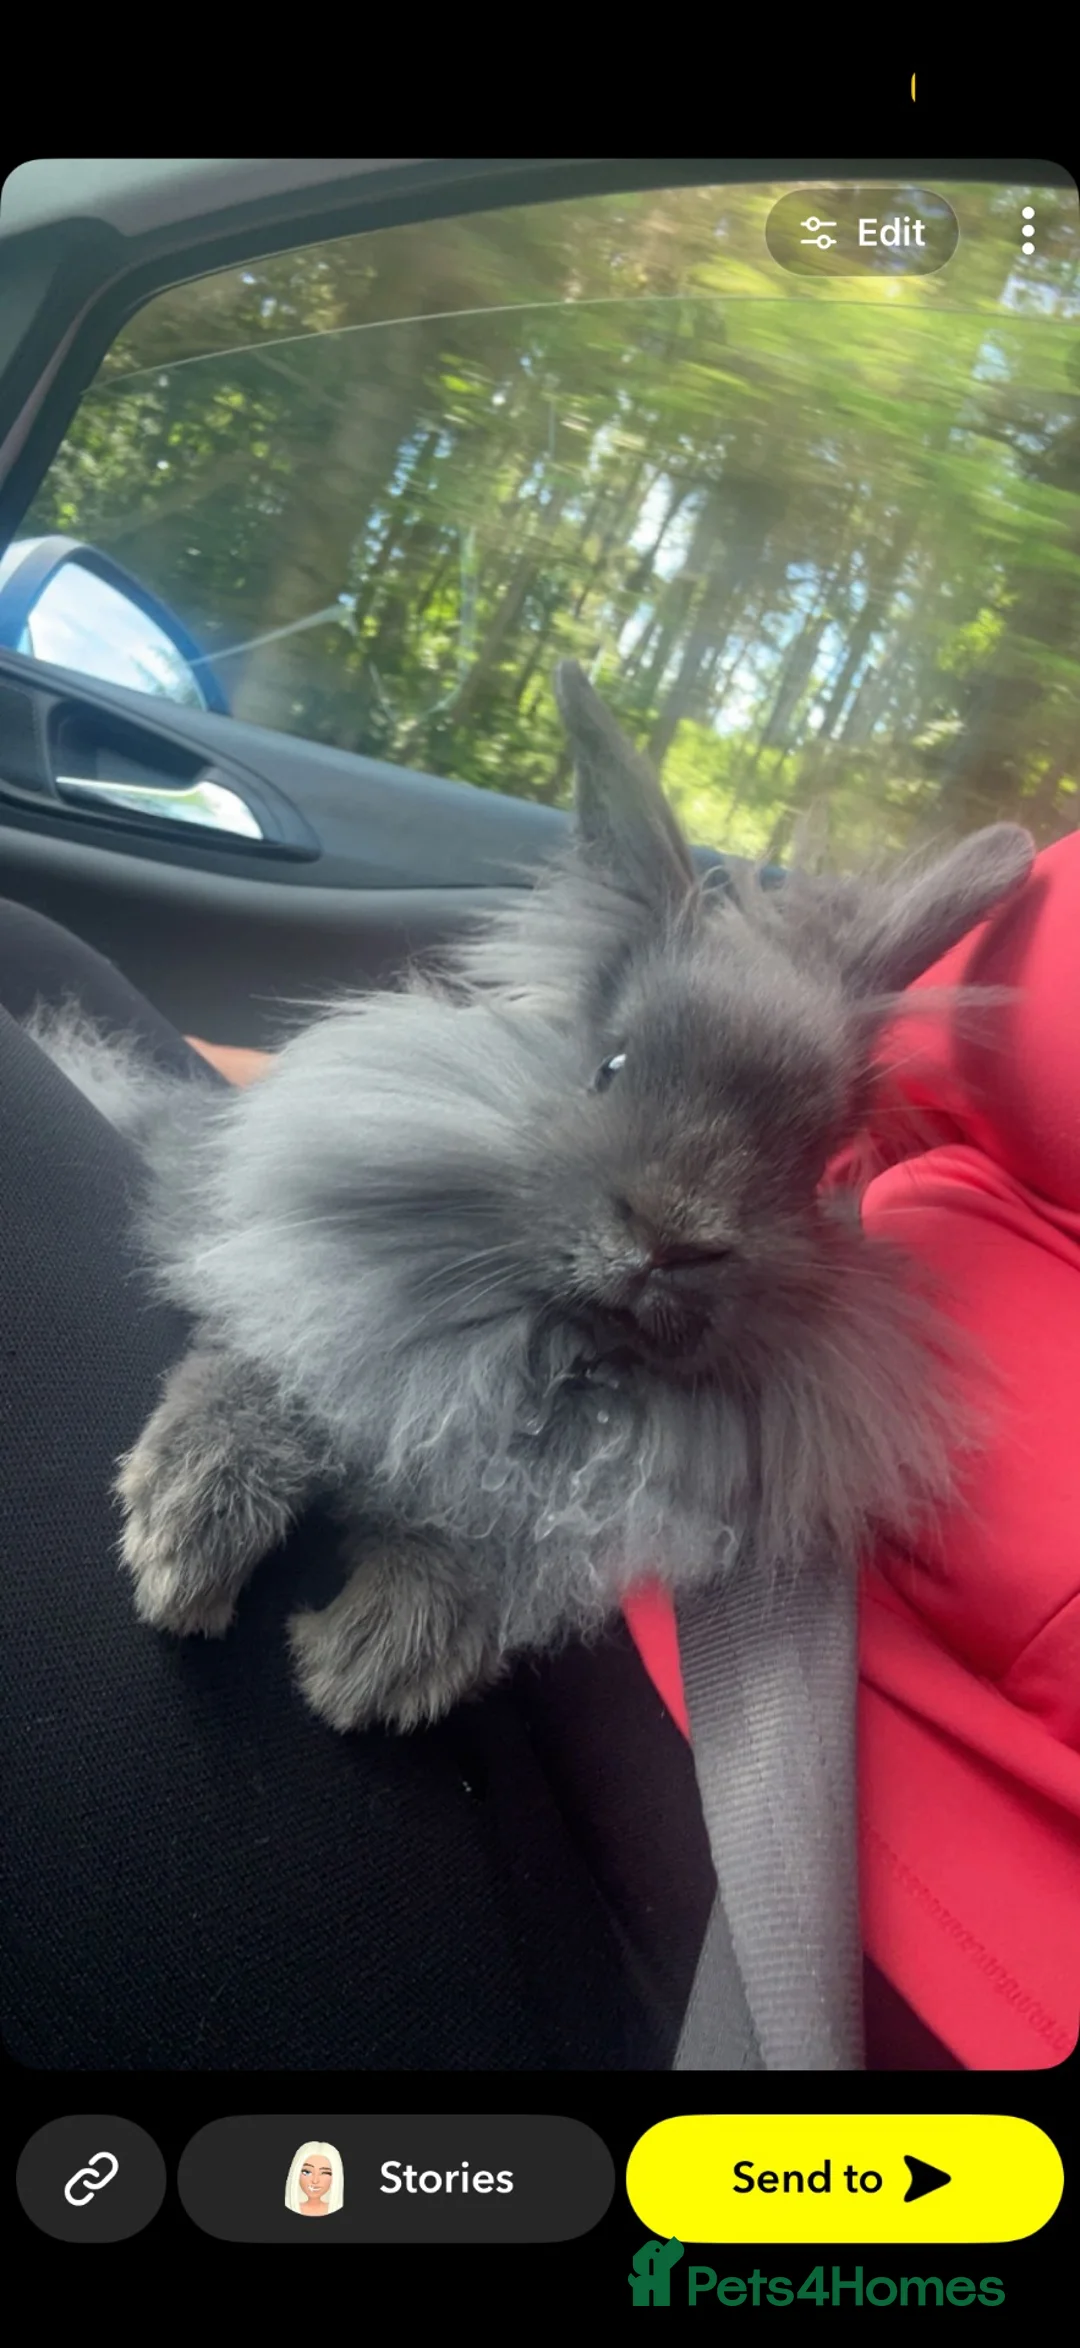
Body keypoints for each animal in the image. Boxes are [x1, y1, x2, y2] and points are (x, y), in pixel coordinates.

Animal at [23, 662, 1035, 1734]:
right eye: (610, 1067)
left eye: (812, 1162)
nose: (672, 1236)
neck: (545, 1349)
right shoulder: (291, 1287)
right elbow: (258, 1370)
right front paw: (182, 1540)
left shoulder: (539, 1506)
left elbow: (482, 1555)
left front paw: (371, 1661)